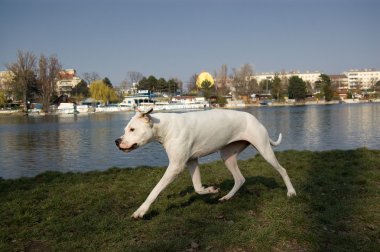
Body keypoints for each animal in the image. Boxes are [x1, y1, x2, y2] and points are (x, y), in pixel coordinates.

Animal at [116, 108, 296, 219]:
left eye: (132, 129)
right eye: (125, 129)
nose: (117, 141)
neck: (165, 127)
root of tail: (254, 118)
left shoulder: (176, 166)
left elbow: (155, 190)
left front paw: (141, 211)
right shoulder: (191, 161)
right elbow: (197, 187)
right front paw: (211, 190)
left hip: (264, 150)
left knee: (283, 170)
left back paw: (291, 192)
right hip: (227, 156)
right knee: (240, 179)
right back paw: (226, 197)